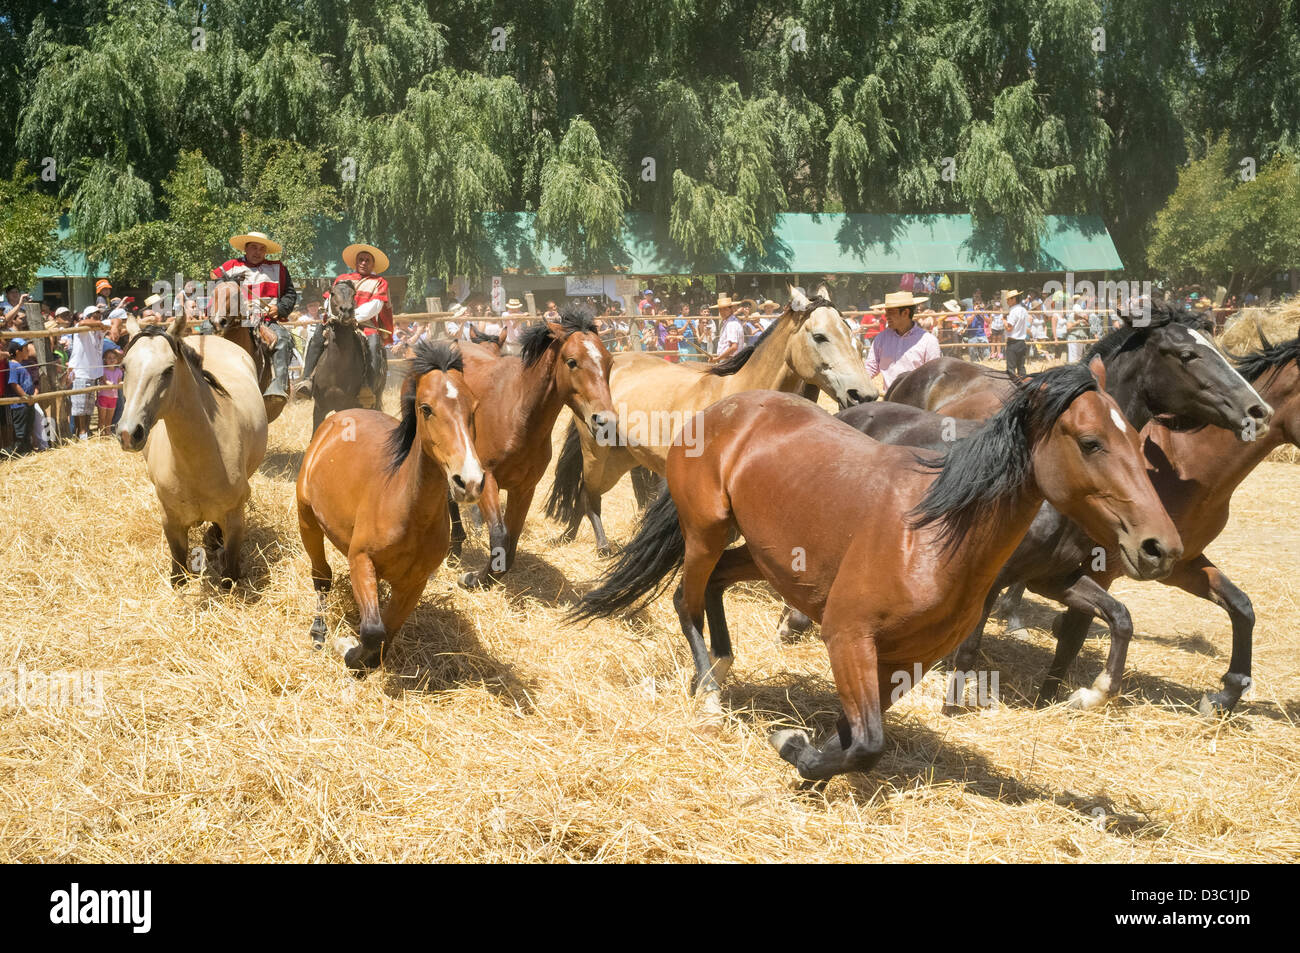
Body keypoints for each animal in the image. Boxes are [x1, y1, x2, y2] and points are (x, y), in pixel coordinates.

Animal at [118, 315, 267, 582]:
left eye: (168, 370)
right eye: (124, 367)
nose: (128, 433)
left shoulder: (234, 519)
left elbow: (229, 575)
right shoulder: (170, 519)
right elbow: (178, 571)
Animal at [297, 340, 486, 670]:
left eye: (473, 408)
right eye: (426, 408)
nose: (469, 481)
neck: (408, 512)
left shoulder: (415, 582)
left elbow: (386, 634)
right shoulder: (360, 559)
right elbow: (373, 631)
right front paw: (346, 647)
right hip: (307, 520)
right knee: (322, 577)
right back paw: (319, 632)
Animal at [449, 302, 616, 587]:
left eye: (609, 362)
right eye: (572, 362)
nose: (605, 421)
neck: (519, 413)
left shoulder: (525, 487)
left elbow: (511, 541)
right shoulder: (487, 479)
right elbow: (499, 535)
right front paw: (474, 578)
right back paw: (454, 547)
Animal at [543, 282, 878, 551]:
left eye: (852, 334)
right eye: (820, 336)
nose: (864, 395)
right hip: (596, 454)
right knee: (588, 494)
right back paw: (601, 545)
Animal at [574, 364, 1185, 780]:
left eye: (1138, 442)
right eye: (1091, 442)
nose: (1161, 546)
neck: (931, 536)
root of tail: (721, 410)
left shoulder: (908, 659)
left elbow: (855, 736)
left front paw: (812, 758)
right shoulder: (848, 636)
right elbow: (868, 744)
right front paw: (792, 747)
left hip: (761, 553)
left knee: (718, 582)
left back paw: (723, 667)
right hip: (706, 530)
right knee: (687, 600)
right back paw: (708, 694)